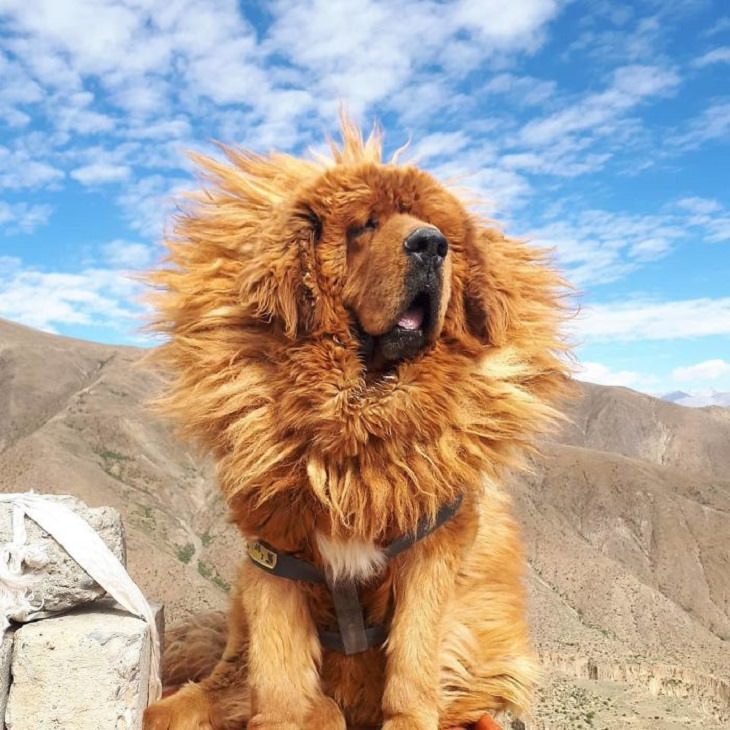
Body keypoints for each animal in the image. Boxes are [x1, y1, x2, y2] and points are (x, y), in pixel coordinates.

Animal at [142, 121, 568, 728]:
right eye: (365, 225)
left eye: (442, 234)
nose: (430, 244)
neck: (359, 425)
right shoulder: (275, 557)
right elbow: (278, 678)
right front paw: (286, 715)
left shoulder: (429, 548)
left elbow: (413, 658)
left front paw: (410, 717)